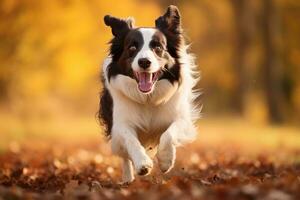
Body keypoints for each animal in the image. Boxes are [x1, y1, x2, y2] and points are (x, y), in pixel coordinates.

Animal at [99, 5, 200, 183]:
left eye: (158, 47)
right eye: (132, 47)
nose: (144, 62)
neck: (148, 98)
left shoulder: (181, 119)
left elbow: (168, 134)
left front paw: (166, 160)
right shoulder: (120, 124)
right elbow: (130, 140)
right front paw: (142, 163)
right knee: (124, 156)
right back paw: (128, 178)